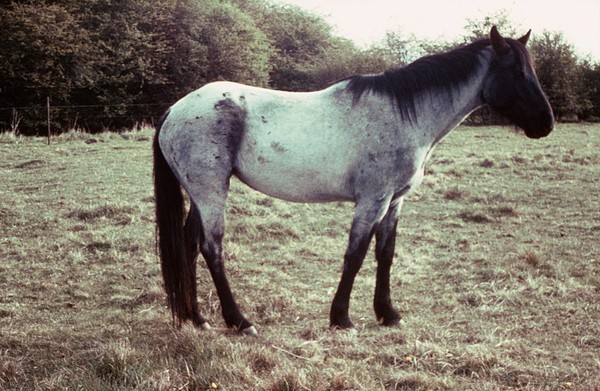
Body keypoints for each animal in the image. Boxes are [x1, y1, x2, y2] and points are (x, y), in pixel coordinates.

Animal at [154, 26, 552, 336]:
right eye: (517, 72)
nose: (546, 124)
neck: (404, 113)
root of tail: (175, 109)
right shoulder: (373, 200)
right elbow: (356, 254)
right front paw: (341, 318)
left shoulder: (394, 201)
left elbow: (384, 254)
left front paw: (388, 314)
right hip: (210, 191)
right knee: (212, 248)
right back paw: (240, 321)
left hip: (199, 194)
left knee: (189, 245)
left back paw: (196, 318)